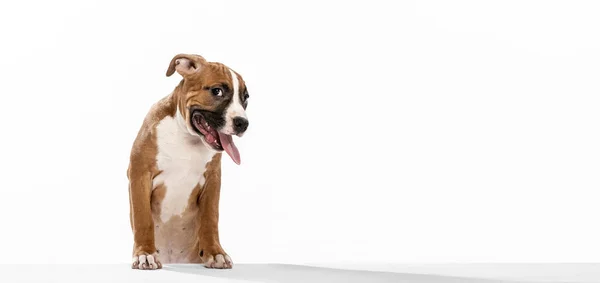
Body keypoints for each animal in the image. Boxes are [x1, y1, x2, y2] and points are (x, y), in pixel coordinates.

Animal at [126, 52, 248, 270]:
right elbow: (143, 218)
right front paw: (145, 254)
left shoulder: (213, 179)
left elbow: (210, 218)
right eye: (217, 91)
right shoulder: (139, 174)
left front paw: (216, 253)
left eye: (246, 99)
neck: (186, 137)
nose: (243, 123)